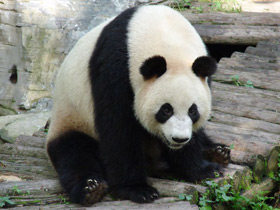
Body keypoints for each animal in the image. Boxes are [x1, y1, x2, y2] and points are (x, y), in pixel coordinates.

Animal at [46, 5, 230, 207]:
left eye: (193, 110)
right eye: (166, 109)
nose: (179, 139)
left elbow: (195, 135)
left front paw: (203, 169)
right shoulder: (116, 69)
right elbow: (118, 129)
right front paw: (137, 189)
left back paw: (217, 152)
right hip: (72, 117)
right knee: (75, 154)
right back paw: (91, 188)